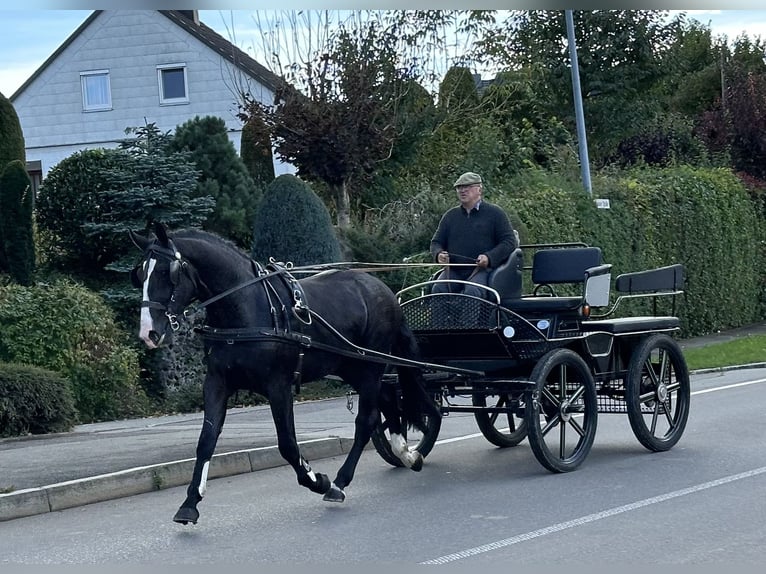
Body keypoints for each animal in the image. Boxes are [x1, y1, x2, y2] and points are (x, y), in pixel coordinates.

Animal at [130, 225, 438, 528]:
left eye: (167, 272)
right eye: (140, 274)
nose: (148, 333)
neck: (245, 308)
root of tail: (384, 290)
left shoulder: (278, 386)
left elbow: (288, 444)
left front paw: (318, 480)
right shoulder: (217, 383)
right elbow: (206, 439)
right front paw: (190, 503)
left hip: (371, 366)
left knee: (367, 420)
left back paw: (340, 482)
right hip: (354, 367)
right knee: (388, 404)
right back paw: (407, 454)